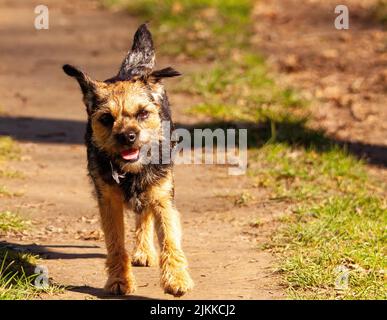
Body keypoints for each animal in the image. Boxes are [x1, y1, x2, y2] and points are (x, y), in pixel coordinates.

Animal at [64, 23, 196, 296]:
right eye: (106, 118)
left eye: (143, 113)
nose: (128, 136)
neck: (131, 171)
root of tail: (131, 71)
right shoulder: (108, 202)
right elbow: (115, 243)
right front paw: (119, 280)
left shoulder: (163, 196)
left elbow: (169, 239)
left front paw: (176, 279)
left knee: (145, 213)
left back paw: (145, 251)